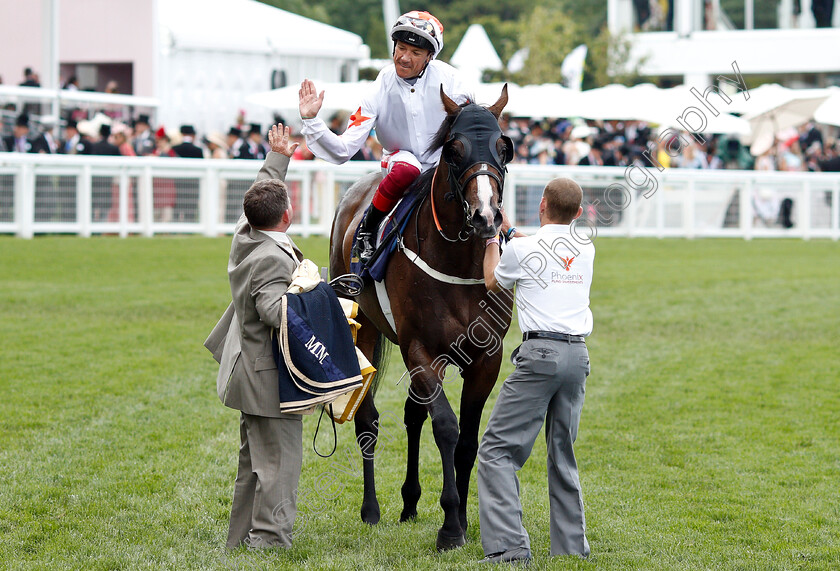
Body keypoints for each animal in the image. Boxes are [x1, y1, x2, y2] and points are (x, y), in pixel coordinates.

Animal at [330, 84, 516, 548]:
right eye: (453, 149)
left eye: (503, 147)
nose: (486, 216)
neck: (458, 263)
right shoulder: (420, 349)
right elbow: (446, 427)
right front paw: (450, 524)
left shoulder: (484, 357)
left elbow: (466, 438)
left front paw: (464, 518)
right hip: (365, 329)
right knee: (368, 418)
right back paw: (372, 509)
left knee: (413, 415)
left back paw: (410, 503)